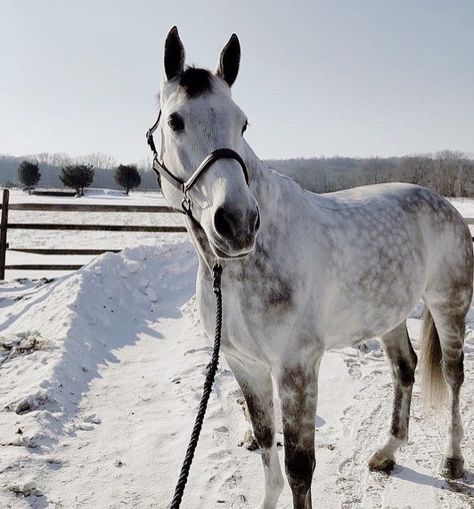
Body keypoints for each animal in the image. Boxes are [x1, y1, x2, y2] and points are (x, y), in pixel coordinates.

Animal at [155, 26, 470, 508]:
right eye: (175, 121)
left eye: (242, 123)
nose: (238, 222)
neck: (242, 269)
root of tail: (444, 203)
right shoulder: (245, 366)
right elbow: (266, 445)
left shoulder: (297, 368)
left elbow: (299, 468)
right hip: (390, 316)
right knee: (405, 369)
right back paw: (387, 452)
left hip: (448, 304)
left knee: (453, 375)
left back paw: (452, 462)